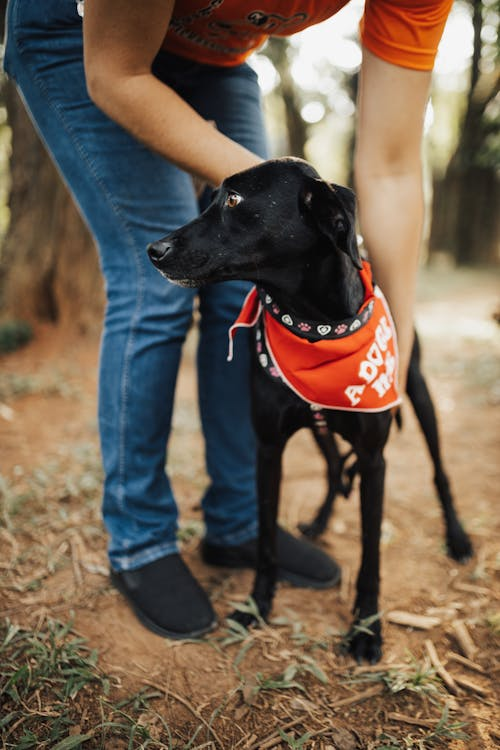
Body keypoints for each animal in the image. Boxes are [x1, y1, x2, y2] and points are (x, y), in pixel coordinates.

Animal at [147, 159, 472, 664]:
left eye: (234, 200)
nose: (154, 250)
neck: (314, 325)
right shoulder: (268, 447)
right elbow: (265, 539)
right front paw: (258, 605)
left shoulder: (375, 459)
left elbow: (371, 554)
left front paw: (366, 629)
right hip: (322, 430)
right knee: (334, 467)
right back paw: (320, 520)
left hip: (417, 394)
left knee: (438, 470)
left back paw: (456, 536)